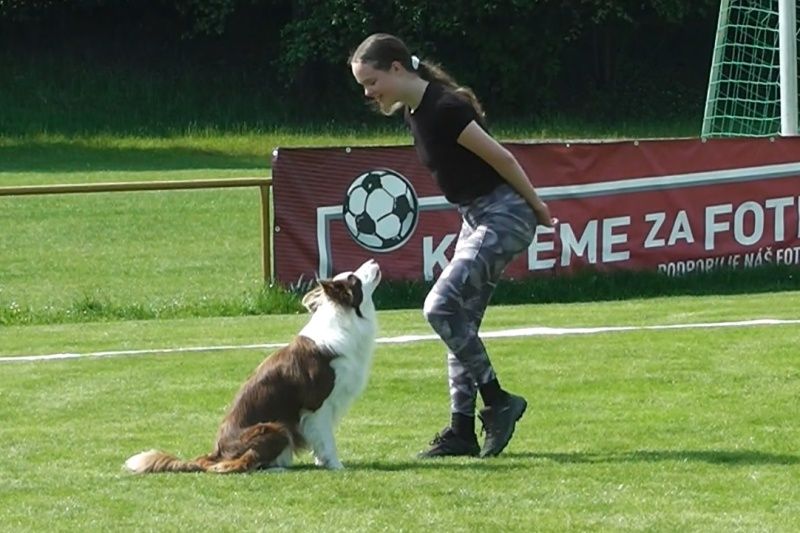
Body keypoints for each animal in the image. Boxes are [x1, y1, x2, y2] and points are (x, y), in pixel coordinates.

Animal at [126, 260, 382, 472]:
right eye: (354, 279)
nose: (373, 261)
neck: (345, 320)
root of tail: (216, 452)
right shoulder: (317, 405)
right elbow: (327, 439)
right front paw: (336, 466)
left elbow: (320, 441)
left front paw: (322, 462)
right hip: (276, 427)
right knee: (234, 464)